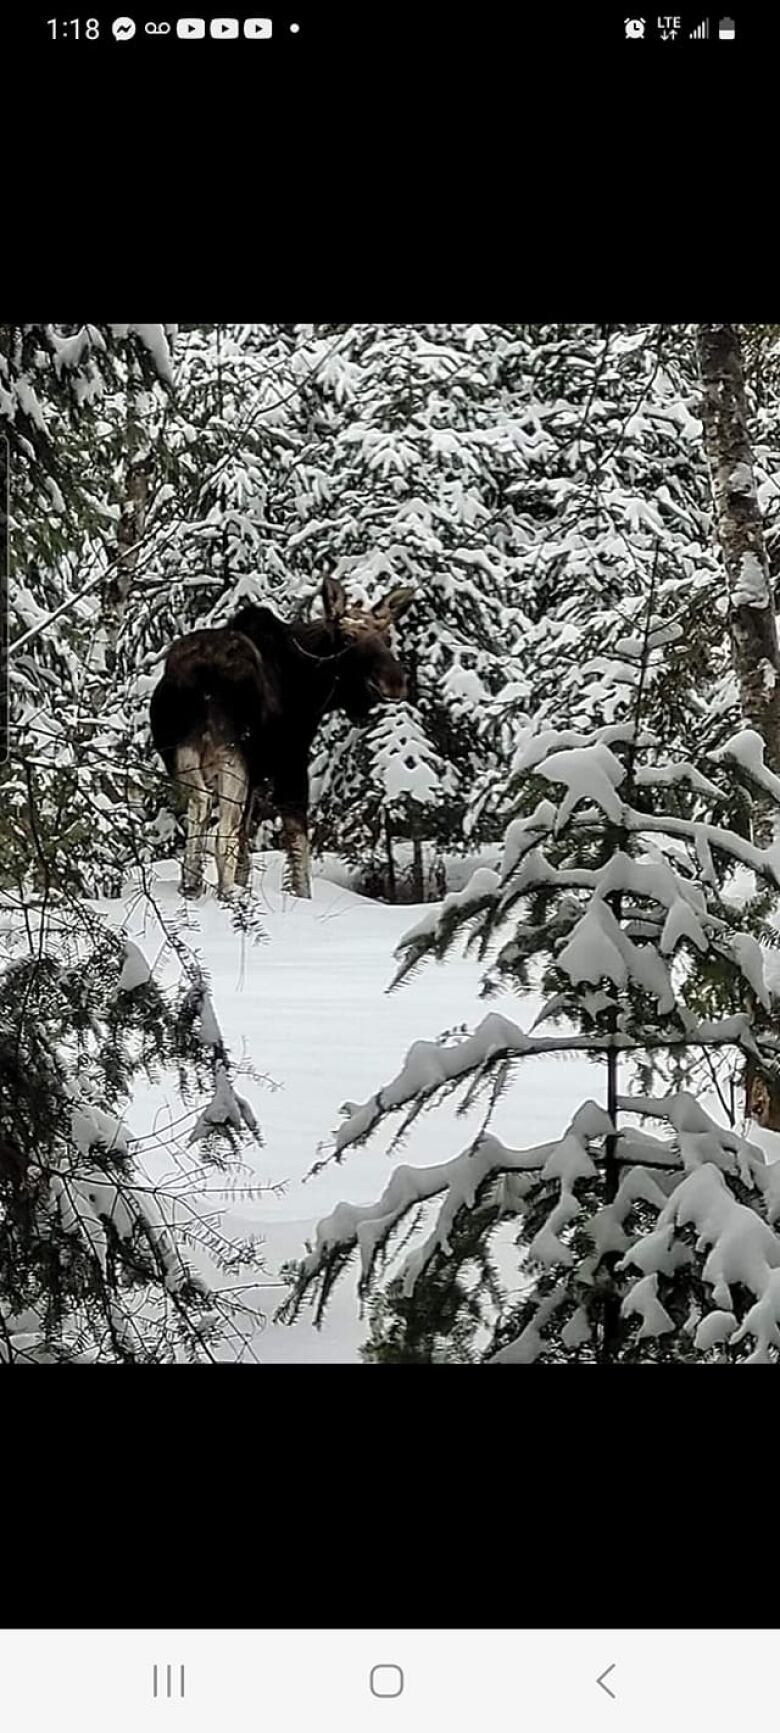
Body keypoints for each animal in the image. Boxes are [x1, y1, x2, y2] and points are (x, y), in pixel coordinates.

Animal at [147, 582, 414, 901]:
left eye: (387, 638)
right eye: (347, 638)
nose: (395, 684)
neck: (313, 687)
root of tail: (195, 676)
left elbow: (246, 846)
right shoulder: (291, 762)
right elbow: (297, 845)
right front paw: (301, 896)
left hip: (182, 750)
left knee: (199, 805)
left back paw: (191, 886)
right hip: (232, 752)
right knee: (220, 828)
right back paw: (228, 892)